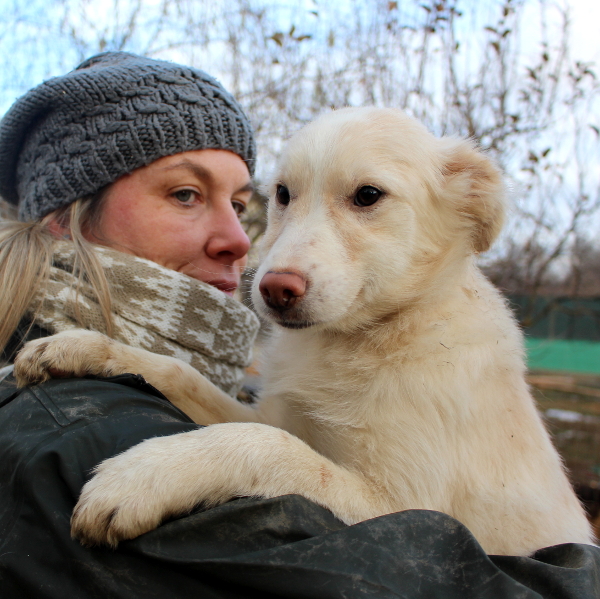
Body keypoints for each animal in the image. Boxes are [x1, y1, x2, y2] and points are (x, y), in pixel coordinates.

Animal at [15, 108, 596, 556]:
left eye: (368, 195)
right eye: (282, 194)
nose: (274, 289)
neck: (357, 340)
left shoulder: (404, 508)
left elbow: (268, 445)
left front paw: (144, 476)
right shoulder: (270, 413)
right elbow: (179, 372)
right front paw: (79, 346)